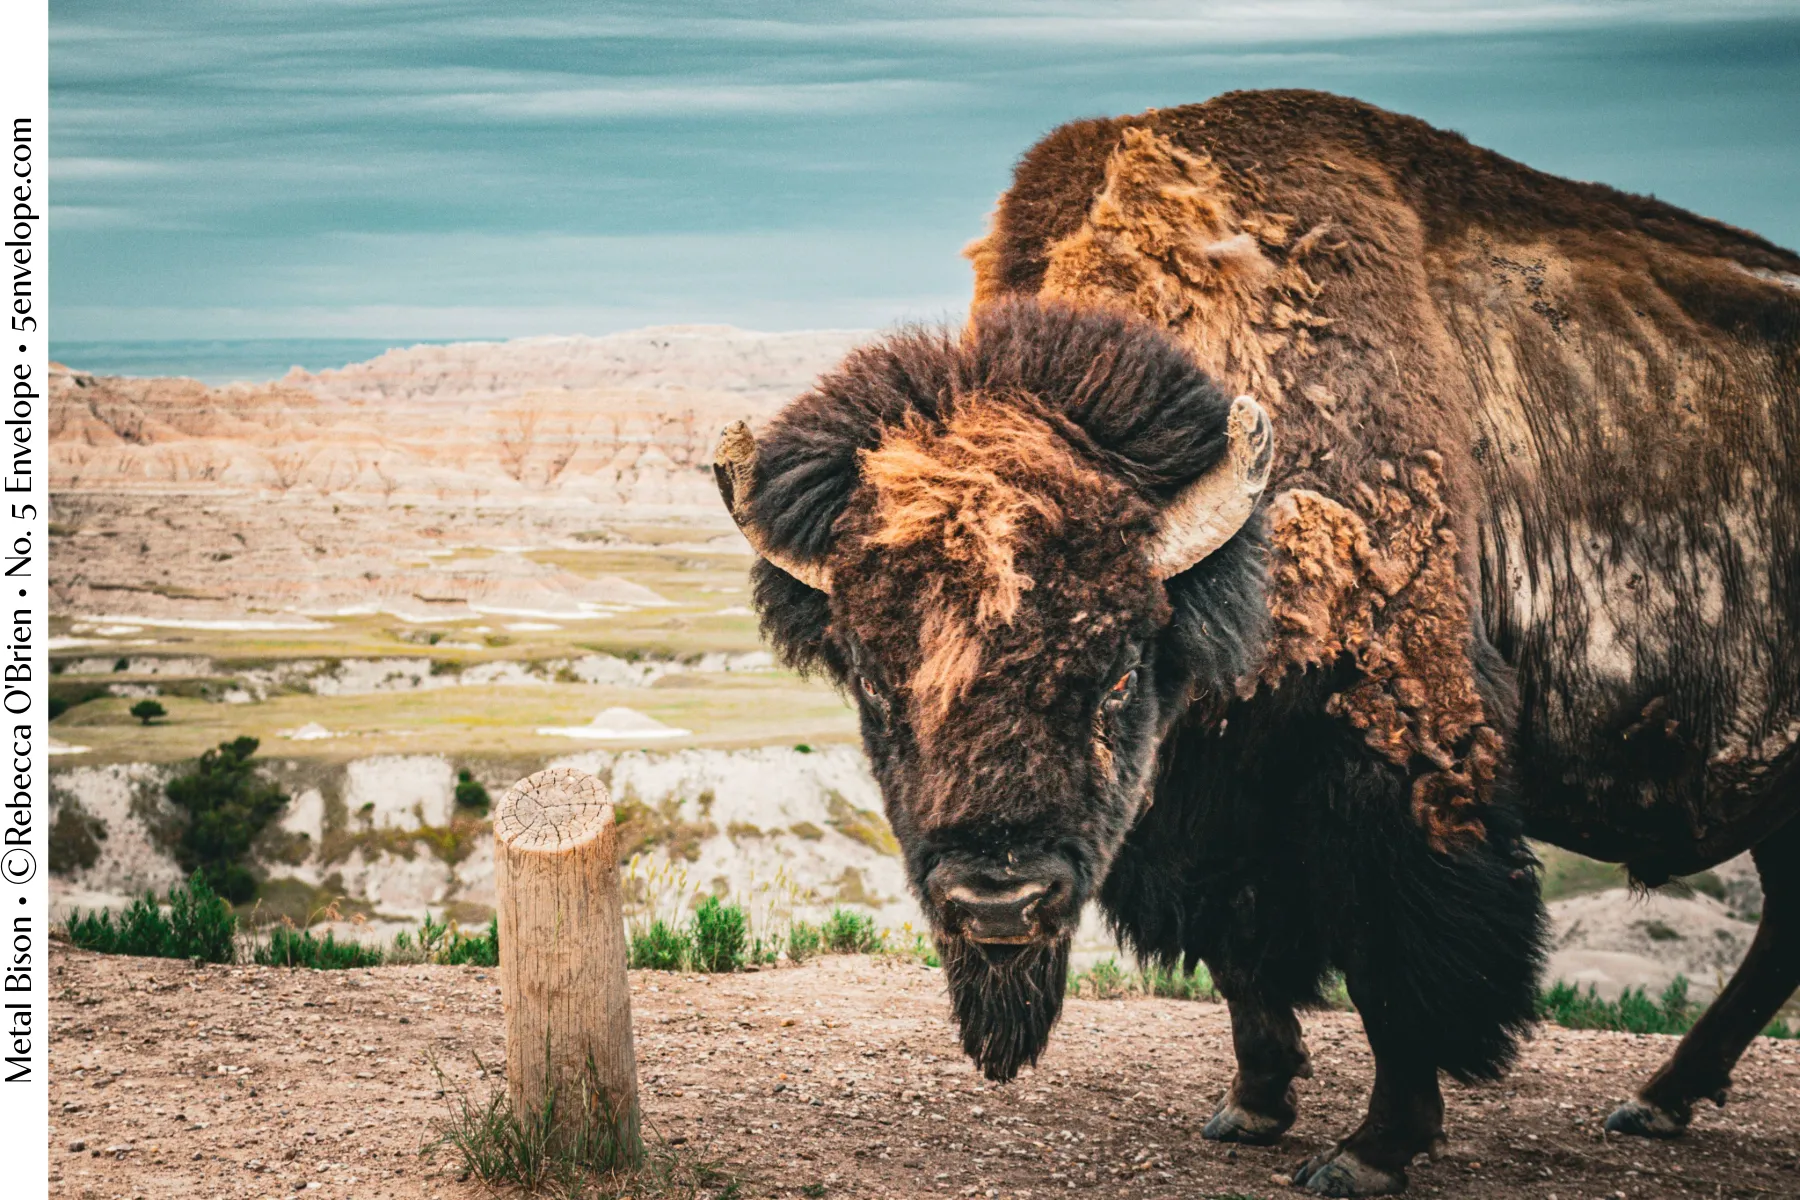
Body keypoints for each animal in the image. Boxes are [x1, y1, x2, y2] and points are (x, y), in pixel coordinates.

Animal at [714, 91, 1800, 1195]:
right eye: (873, 681)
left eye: (1119, 673)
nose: (998, 903)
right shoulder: (1207, 808)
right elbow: (1243, 955)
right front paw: (1252, 1108)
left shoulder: (1395, 756)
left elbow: (1392, 964)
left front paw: (1369, 1150)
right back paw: (1659, 1101)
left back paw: (1653, 1101)